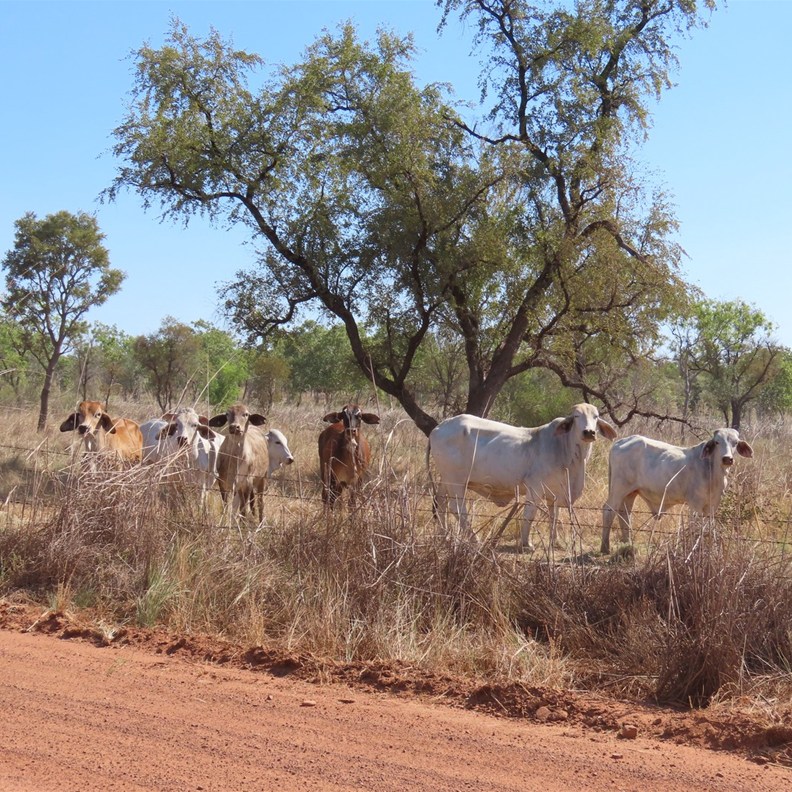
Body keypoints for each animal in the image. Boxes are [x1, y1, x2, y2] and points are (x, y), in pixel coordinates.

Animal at [427, 403, 617, 550]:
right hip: (456, 481)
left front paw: (555, 542)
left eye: (596, 416)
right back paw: (474, 539)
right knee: (457, 509)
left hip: (445, 479)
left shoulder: (555, 493)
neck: (567, 451)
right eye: (577, 416)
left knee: (441, 503)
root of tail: (438, 428)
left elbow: (554, 516)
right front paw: (526, 543)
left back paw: (444, 536)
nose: (589, 432)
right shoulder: (535, 488)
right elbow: (530, 514)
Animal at [600, 428, 754, 554]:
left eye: (735, 443)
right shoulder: (695, 504)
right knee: (608, 510)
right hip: (618, 488)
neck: (712, 472)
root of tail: (620, 442)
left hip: (630, 493)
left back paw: (628, 544)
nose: (727, 459)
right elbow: (696, 527)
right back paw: (605, 547)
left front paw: (713, 549)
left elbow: (710, 528)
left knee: (624, 514)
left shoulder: (712, 505)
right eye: (717, 442)